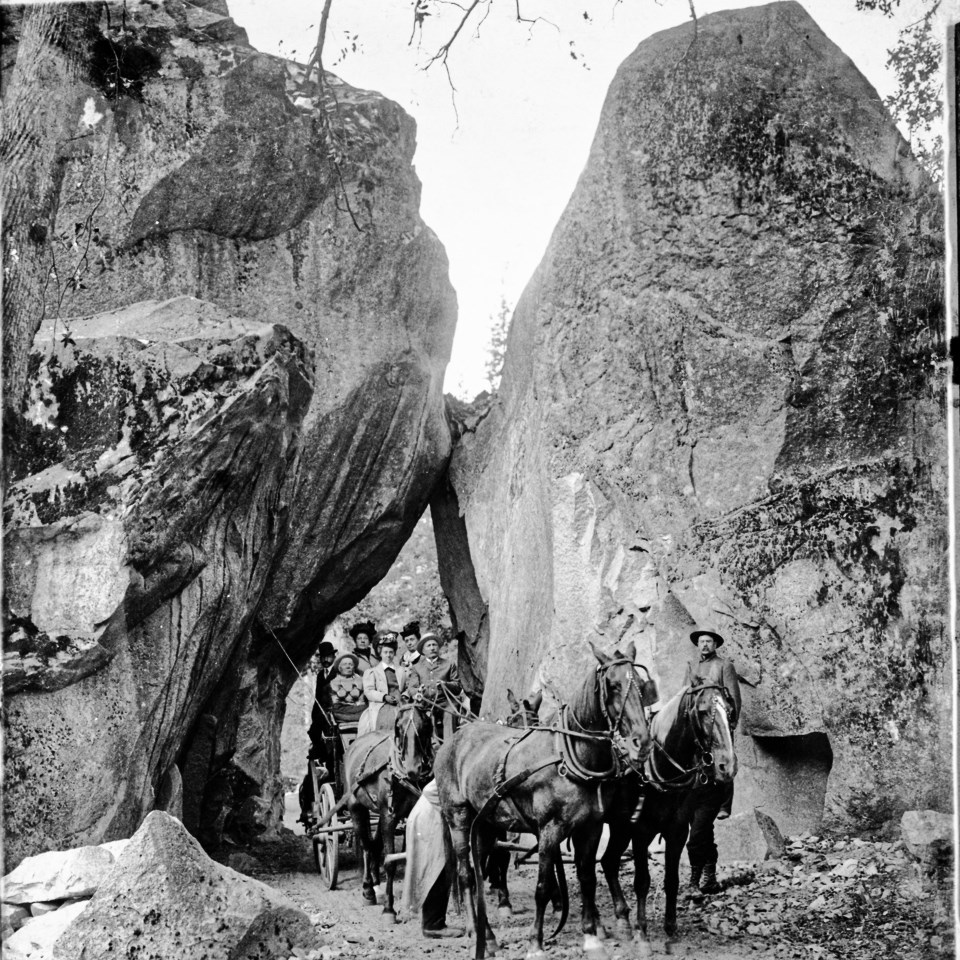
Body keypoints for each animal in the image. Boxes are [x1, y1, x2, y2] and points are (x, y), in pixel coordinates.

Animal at [344, 700, 434, 920]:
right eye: (399, 728)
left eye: (425, 727)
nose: (413, 769)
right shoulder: (389, 816)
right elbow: (390, 861)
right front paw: (389, 909)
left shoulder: (408, 816)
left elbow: (411, 857)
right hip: (356, 807)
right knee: (366, 845)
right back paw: (368, 889)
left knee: (374, 845)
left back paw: (376, 884)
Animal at [438, 640, 656, 960]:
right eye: (613, 685)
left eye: (641, 685)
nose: (642, 742)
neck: (569, 756)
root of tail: (453, 739)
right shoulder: (550, 830)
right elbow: (542, 885)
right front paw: (536, 943)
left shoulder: (590, 828)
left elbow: (587, 878)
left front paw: (592, 937)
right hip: (459, 818)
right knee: (466, 875)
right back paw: (477, 934)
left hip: (488, 825)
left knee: (480, 872)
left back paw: (487, 934)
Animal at [596, 684, 740, 952]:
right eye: (702, 711)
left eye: (729, 710)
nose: (727, 766)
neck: (660, 769)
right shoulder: (641, 833)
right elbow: (642, 881)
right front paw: (642, 934)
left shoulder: (677, 831)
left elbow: (671, 880)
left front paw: (671, 930)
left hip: (620, 828)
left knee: (608, 862)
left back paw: (622, 918)